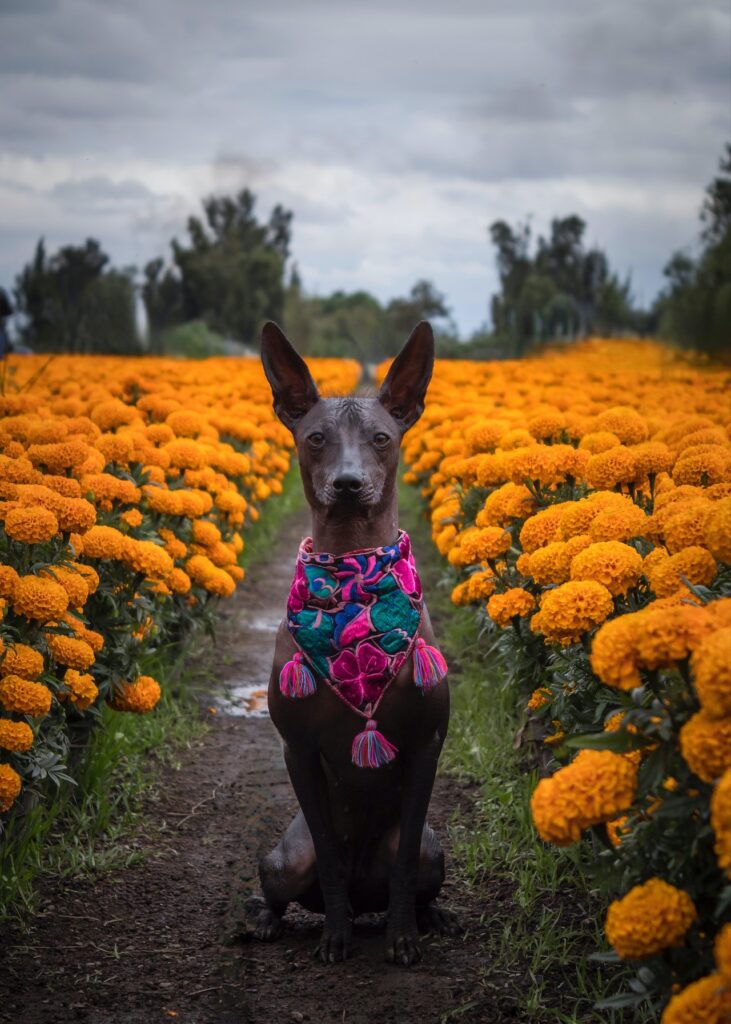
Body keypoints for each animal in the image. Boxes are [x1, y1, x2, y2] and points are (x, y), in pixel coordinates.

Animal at [253, 321, 452, 966]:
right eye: (316, 437)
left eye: (381, 438)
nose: (347, 483)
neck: (354, 571)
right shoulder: (297, 750)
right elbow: (330, 858)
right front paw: (334, 938)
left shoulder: (426, 746)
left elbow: (405, 859)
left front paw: (404, 939)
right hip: (284, 859)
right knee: (292, 879)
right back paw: (266, 922)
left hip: (436, 853)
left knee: (410, 872)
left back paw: (427, 917)